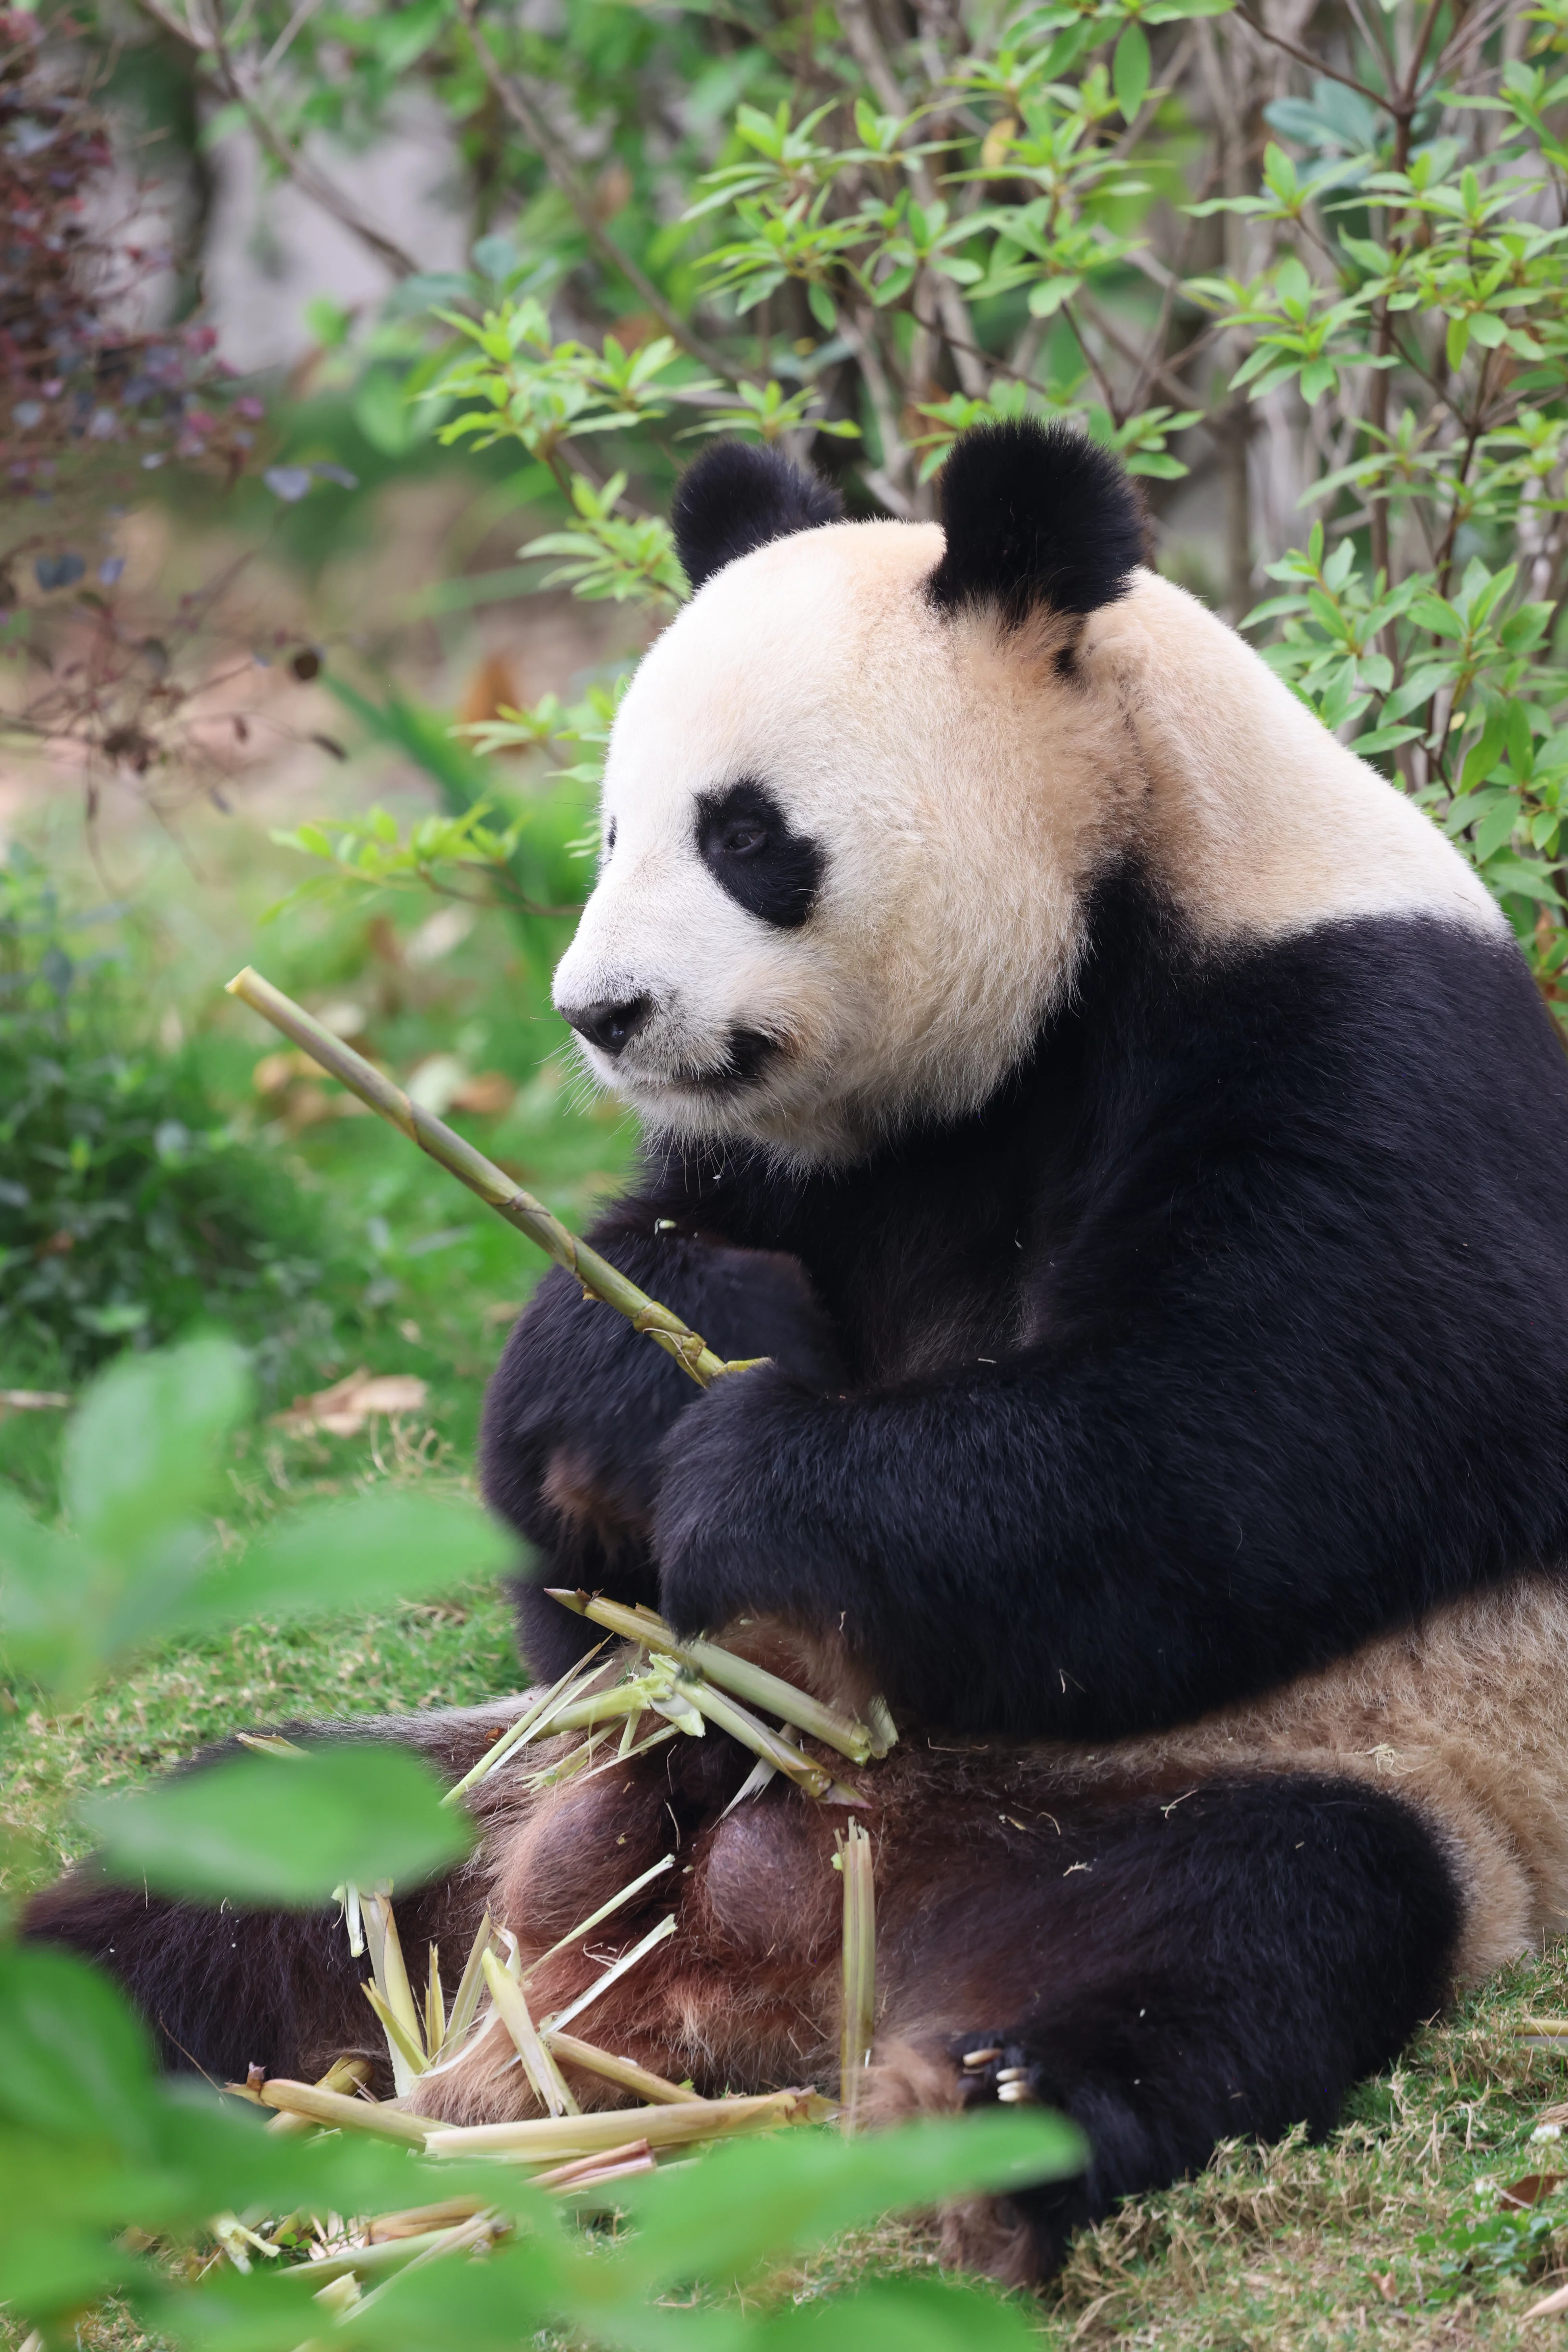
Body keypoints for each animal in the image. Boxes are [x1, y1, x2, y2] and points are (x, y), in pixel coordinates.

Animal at [29, 422, 1568, 2285]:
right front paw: (668, 1376)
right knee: (210, 1858)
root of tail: (718, 1970)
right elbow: (585, 1489)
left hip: (1304, 1780)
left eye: (745, 835)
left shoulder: (1354, 1040)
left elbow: (1257, 1440)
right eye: (611, 826)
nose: (602, 1014)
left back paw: (975, 2126)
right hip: (474, 1789)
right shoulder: (794, 1159)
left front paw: (746, 1480)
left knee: (1244, 1926)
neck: (1110, 894)